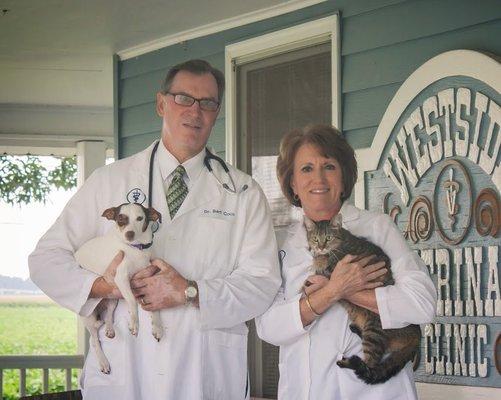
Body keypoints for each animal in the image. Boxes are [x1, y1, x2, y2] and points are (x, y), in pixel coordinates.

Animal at [75, 202, 161, 374]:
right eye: (120, 219)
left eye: (140, 218)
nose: (129, 234)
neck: (136, 249)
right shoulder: (121, 278)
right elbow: (133, 302)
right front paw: (134, 324)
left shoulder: (146, 282)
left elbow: (152, 308)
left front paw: (157, 326)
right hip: (88, 315)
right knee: (94, 340)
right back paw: (103, 362)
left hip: (112, 298)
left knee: (109, 314)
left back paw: (109, 329)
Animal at [302, 212, 420, 384]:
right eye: (316, 238)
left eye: (328, 238)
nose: (320, 247)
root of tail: (417, 333)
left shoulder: (334, 269)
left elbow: (322, 268)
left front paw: (315, 269)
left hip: (375, 330)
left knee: (370, 365)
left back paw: (349, 362)